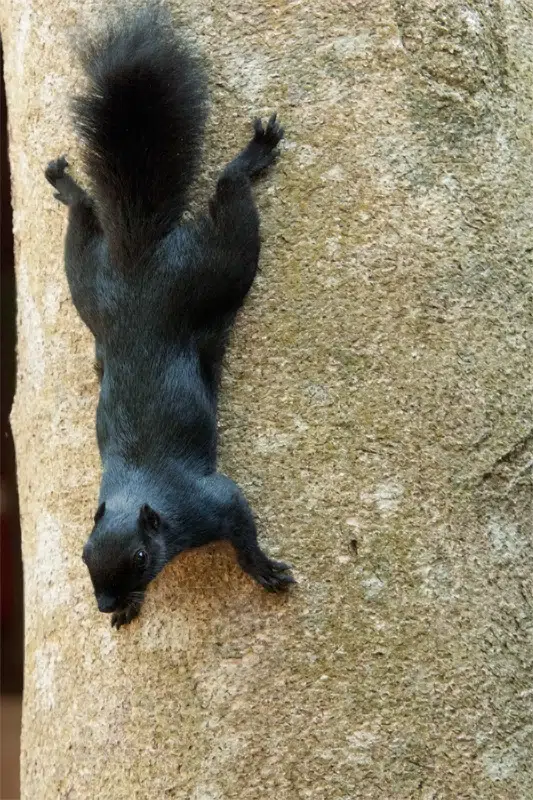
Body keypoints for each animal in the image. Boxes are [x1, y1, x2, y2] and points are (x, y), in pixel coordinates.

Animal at [45, 5, 295, 629]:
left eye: (139, 556)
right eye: (83, 555)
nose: (107, 601)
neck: (140, 494)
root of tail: (138, 259)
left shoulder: (211, 500)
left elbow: (241, 523)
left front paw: (262, 568)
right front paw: (129, 610)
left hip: (218, 266)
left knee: (231, 191)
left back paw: (255, 152)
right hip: (88, 281)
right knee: (83, 218)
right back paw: (66, 185)